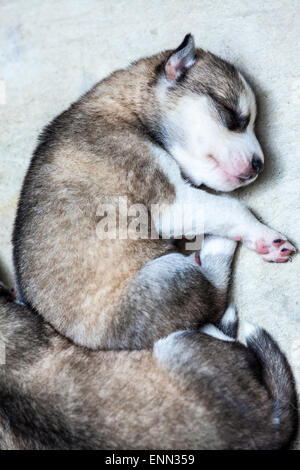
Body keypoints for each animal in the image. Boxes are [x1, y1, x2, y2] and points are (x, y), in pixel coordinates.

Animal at [12, 34, 294, 348]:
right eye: (232, 114)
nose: (260, 165)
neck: (131, 110)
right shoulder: (169, 203)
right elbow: (234, 207)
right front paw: (265, 237)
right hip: (170, 275)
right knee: (214, 296)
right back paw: (219, 245)